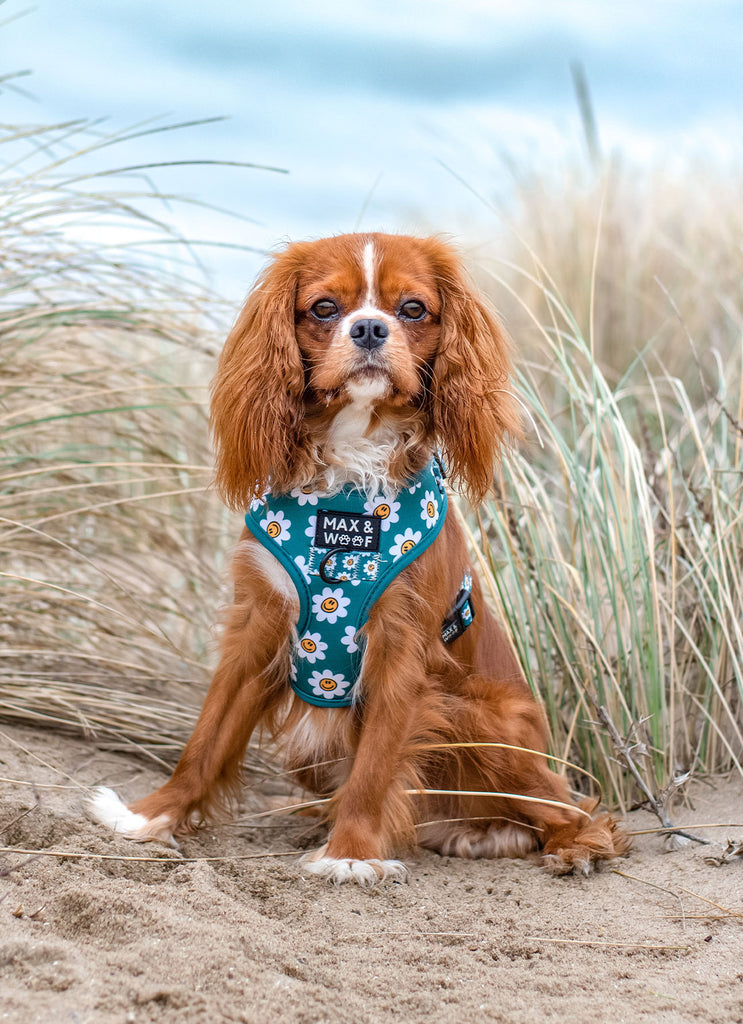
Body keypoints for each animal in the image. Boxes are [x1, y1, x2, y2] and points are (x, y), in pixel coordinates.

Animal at [90, 232, 630, 880]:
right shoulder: (259, 625)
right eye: (324, 308)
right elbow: (206, 737)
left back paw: (549, 843)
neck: (349, 479)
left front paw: (349, 854)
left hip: (472, 710)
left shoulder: (402, 647)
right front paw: (148, 816)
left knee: (573, 807)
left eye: (413, 309)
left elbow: (375, 763)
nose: (370, 328)